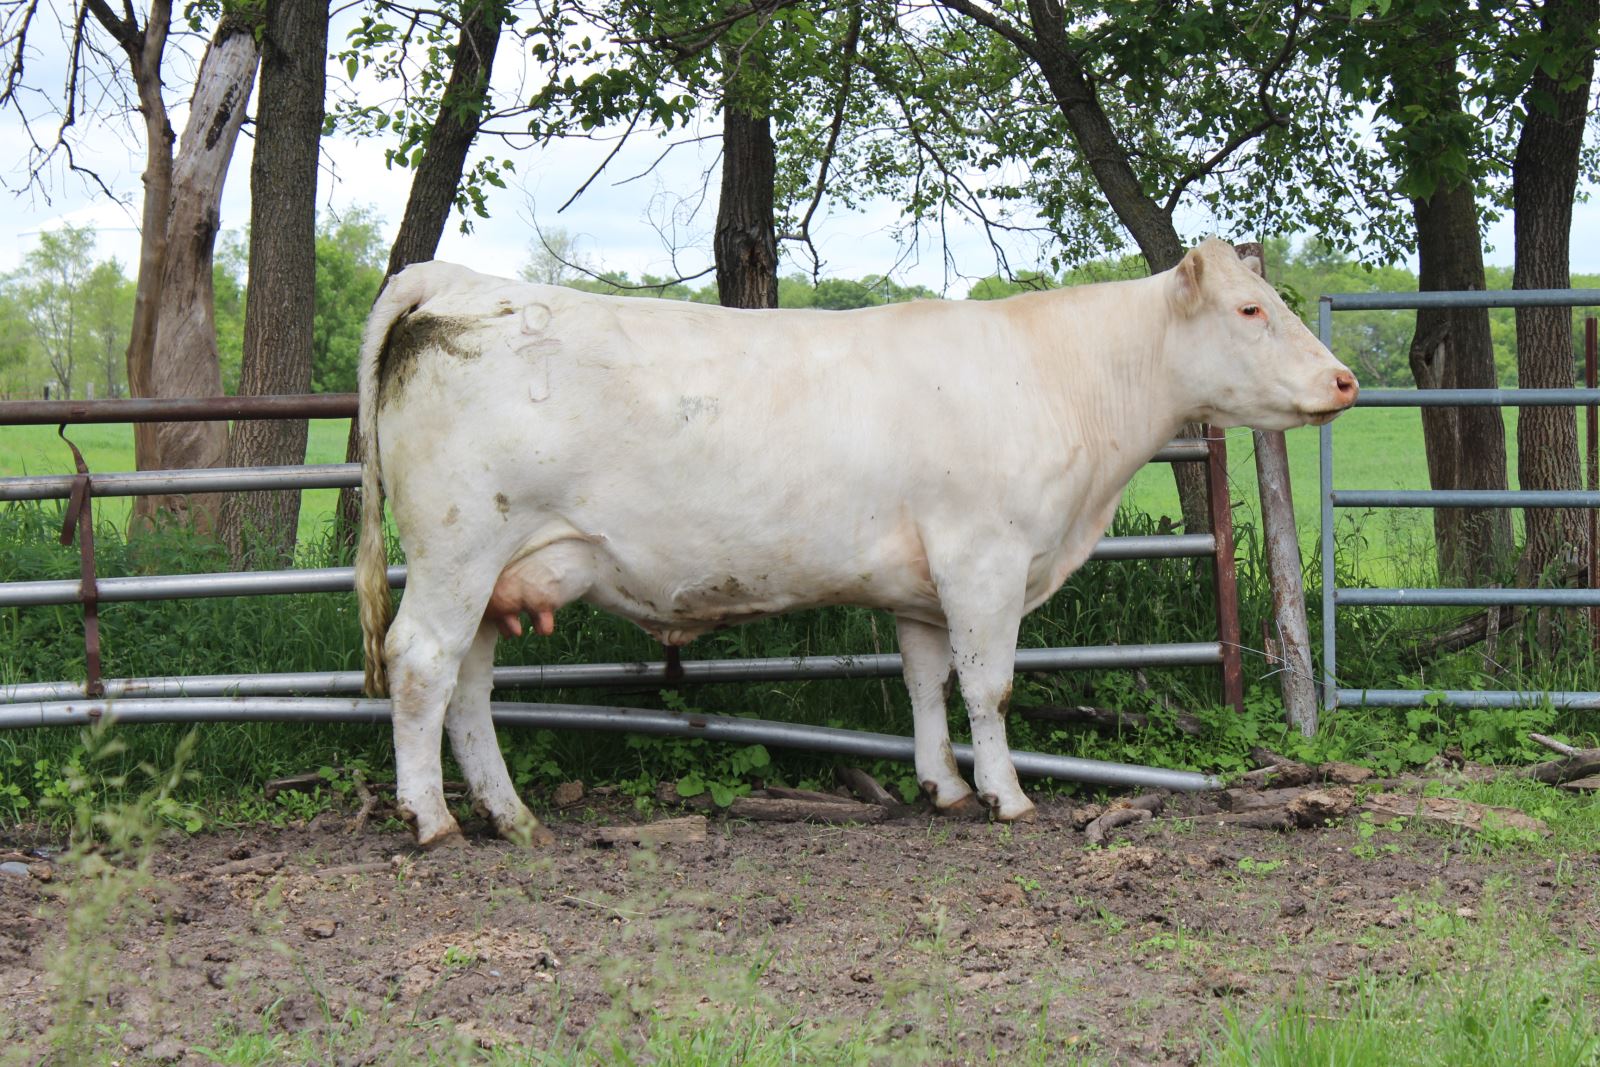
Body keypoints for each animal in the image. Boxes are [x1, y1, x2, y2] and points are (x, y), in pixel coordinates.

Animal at [356, 238, 1356, 844]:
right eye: (1251, 312)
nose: (1345, 380)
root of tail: (459, 278)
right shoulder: (985, 558)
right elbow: (989, 686)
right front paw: (1008, 796)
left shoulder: (922, 586)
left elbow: (926, 683)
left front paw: (944, 786)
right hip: (458, 551)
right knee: (421, 664)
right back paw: (432, 818)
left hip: (502, 574)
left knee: (469, 685)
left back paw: (510, 813)